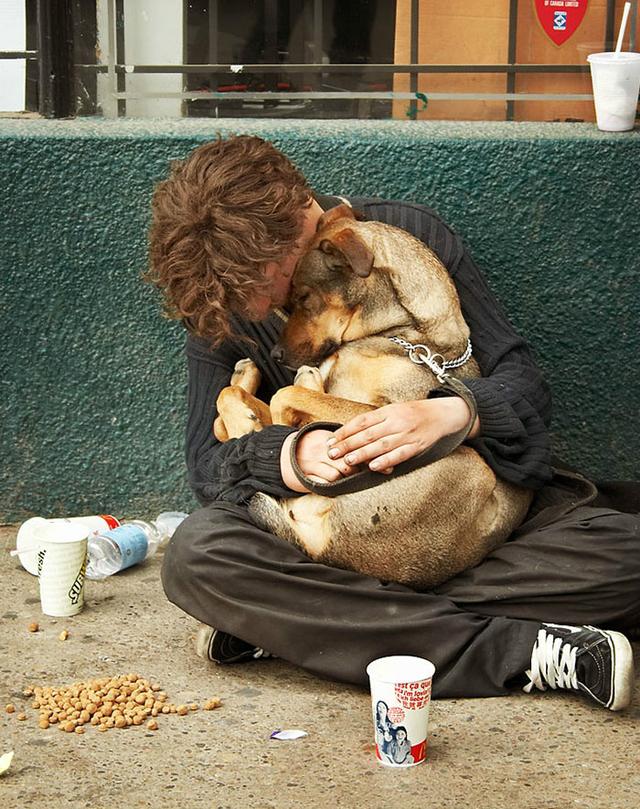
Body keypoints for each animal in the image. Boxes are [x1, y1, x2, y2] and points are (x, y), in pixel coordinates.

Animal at [212, 205, 532, 588]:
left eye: (304, 299)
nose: (275, 355)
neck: (408, 334)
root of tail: (325, 548)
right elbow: (228, 401)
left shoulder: (383, 412)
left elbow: (283, 397)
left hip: (468, 464)